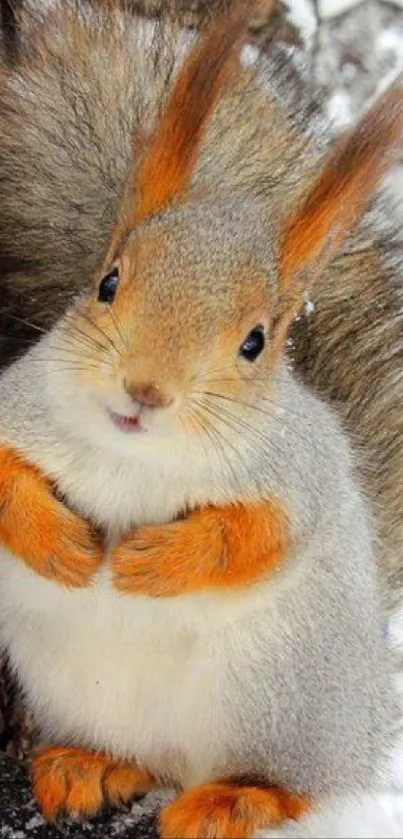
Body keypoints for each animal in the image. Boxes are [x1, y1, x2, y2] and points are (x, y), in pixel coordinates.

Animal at [0, 1, 403, 839]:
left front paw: (156, 560)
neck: (134, 454)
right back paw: (91, 765)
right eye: (108, 281)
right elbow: (0, 478)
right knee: (145, 760)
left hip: (277, 698)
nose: (144, 390)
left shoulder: (298, 475)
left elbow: (257, 537)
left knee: (293, 783)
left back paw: (237, 798)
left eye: (256, 341)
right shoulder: (16, 404)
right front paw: (59, 543)